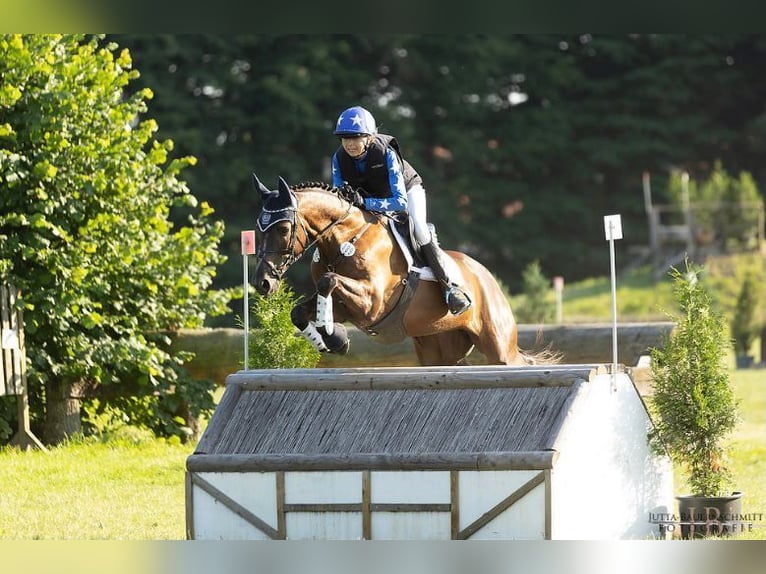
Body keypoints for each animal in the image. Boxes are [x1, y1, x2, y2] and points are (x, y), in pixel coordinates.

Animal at [255, 173, 548, 366]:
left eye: (283, 229)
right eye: (259, 227)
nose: (262, 282)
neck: (346, 239)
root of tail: (486, 276)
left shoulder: (372, 303)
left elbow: (329, 280)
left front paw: (334, 337)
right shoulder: (348, 306)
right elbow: (300, 311)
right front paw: (332, 339)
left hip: (498, 346)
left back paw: (457, 297)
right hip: (438, 350)